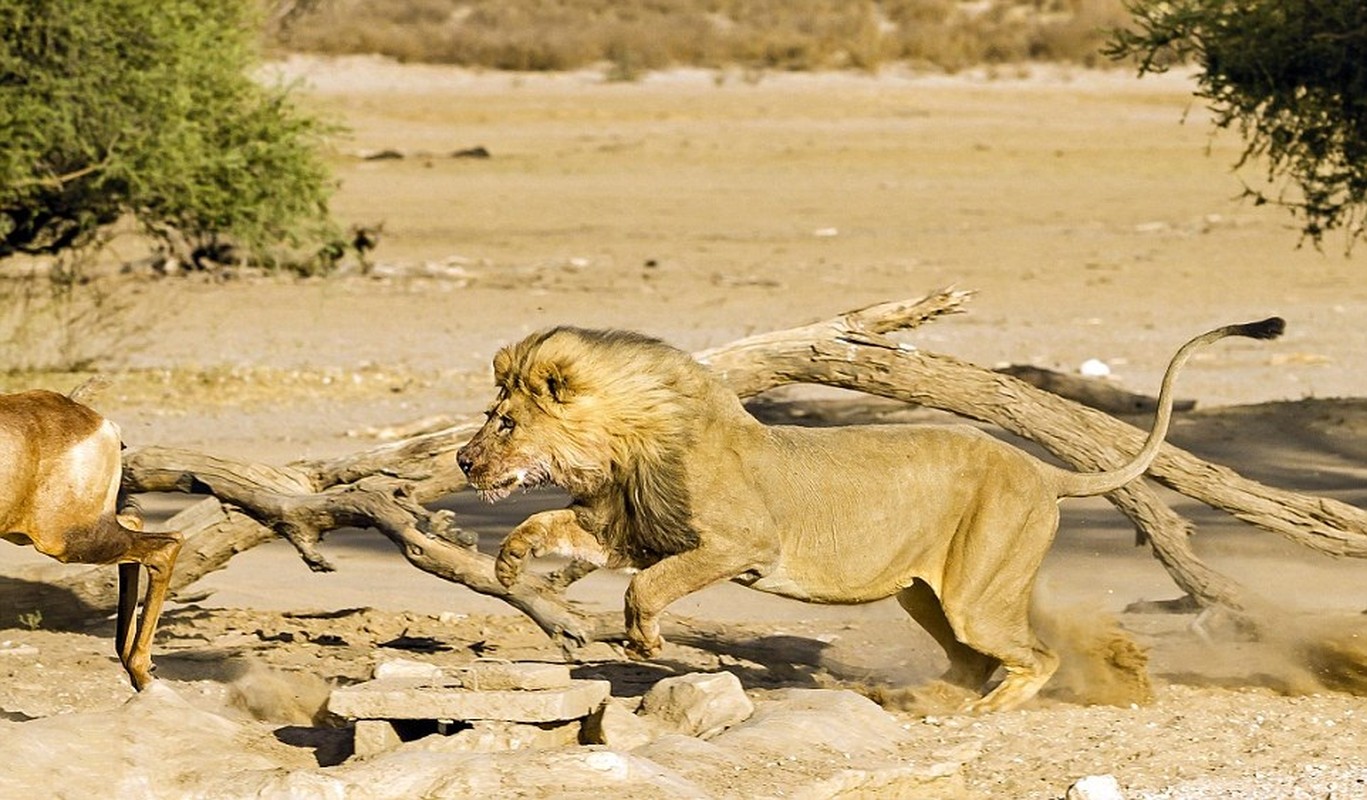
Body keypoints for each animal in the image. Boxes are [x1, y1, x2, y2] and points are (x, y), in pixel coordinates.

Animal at [456, 314, 1279, 705]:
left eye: (505, 423)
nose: (463, 462)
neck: (630, 442)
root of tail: (1043, 471)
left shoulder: (740, 544)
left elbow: (647, 588)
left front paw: (644, 641)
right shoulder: (623, 530)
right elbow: (545, 528)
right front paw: (507, 566)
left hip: (977, 594)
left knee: (1033, 658)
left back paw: (978, 714)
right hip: (926, 596)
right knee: (968, 659)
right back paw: (925, 700)